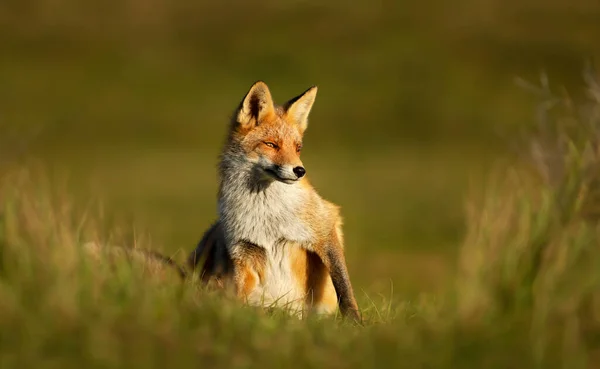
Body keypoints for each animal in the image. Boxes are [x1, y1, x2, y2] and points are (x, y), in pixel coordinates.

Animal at [185, 80, 360, 320]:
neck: (267, 214)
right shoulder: (242, 251)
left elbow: (344, 287)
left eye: (297, 148)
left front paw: (355, 322)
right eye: (271, 144)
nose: (300, 171)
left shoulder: (324, 228)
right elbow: (238, 294)